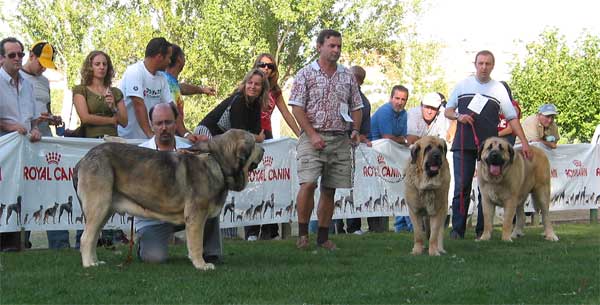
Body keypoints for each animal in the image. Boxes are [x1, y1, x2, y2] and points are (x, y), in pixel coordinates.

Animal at [74, 128, 264, 268]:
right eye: (254, 143)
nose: (263, 149)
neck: (217, 161)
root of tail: (83, 159)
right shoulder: (196, 215)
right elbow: (196, 243)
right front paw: (201, 265)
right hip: (99, 206)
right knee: (86, 238)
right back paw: (89, 264)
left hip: (104, 210)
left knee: (93, 237)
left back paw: (95, 261)